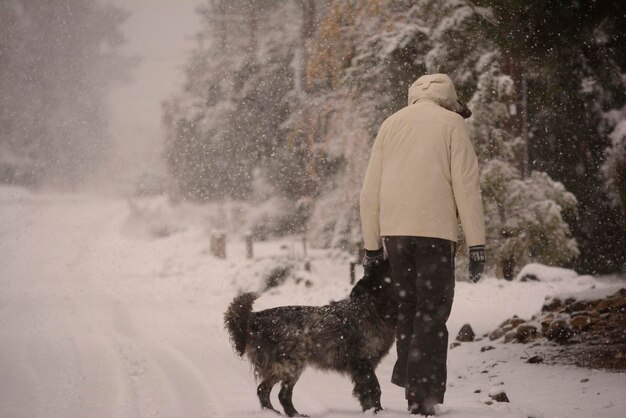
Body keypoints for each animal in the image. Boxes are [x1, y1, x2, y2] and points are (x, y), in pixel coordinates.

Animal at [224, 260, 394, 416]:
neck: (372, 306)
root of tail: (255, 318)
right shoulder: (361, 361)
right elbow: (375, 388)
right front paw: (377, 411)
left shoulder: (364, 365)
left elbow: (365, 392)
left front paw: (369, 411)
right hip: (292, 364)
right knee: (282, 395)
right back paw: (295, 414)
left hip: (279, 368)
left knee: (262, 389)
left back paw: (272, 412)